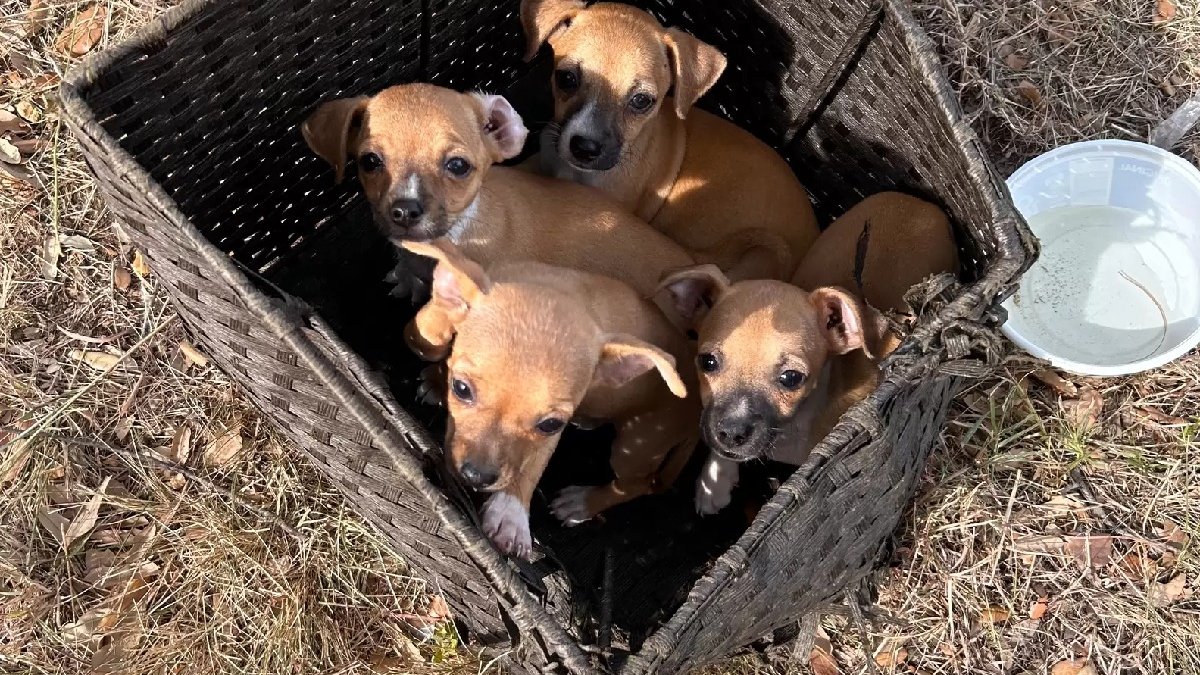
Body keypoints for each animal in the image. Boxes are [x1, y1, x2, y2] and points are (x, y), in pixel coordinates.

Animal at [405, 239, 700, 554]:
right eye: (460, 388)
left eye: (550, 425)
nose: (477, 477)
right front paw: (435, 359)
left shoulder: (549, 438)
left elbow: (533, 465)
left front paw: (511, 513)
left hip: (634, 450)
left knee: (638, 484)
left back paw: (583, 503)